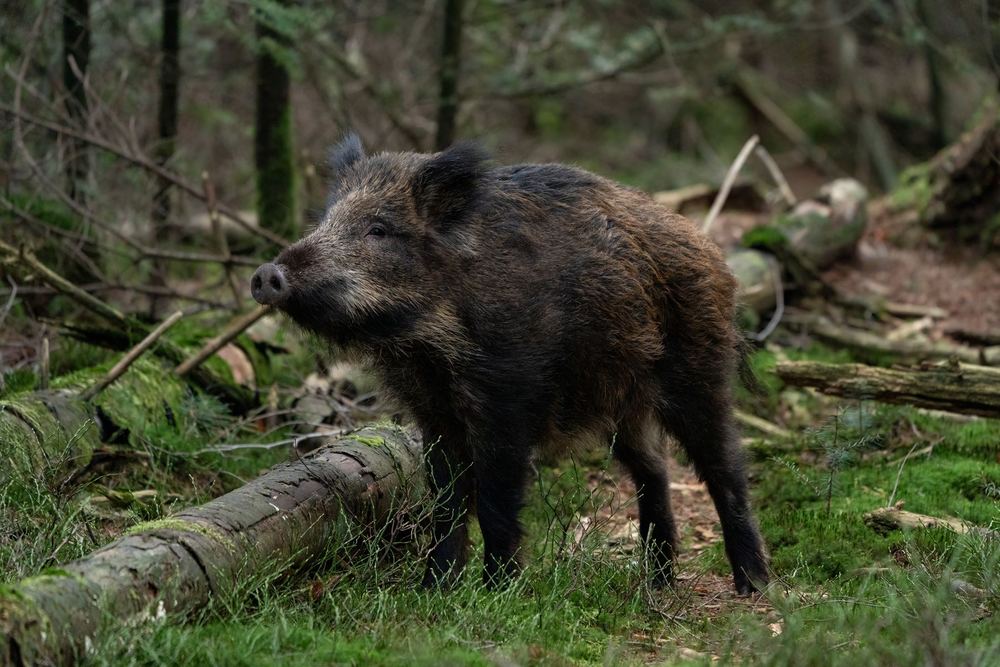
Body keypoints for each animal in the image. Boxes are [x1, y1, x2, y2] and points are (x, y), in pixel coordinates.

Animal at [250, 134, 769, 594]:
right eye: (327, 218)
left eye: (378, 228)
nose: (266, 274)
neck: (429, 347)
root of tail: (713, 254)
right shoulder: (433, 411)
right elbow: (446, 500)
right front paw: (434, 590)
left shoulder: (507, 397)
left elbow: (496, 498)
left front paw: (496, 592)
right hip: (621, 401)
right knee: (654, 470)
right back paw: (657, 582)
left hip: (698, 371)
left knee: (725, 467)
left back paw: (753, 586)